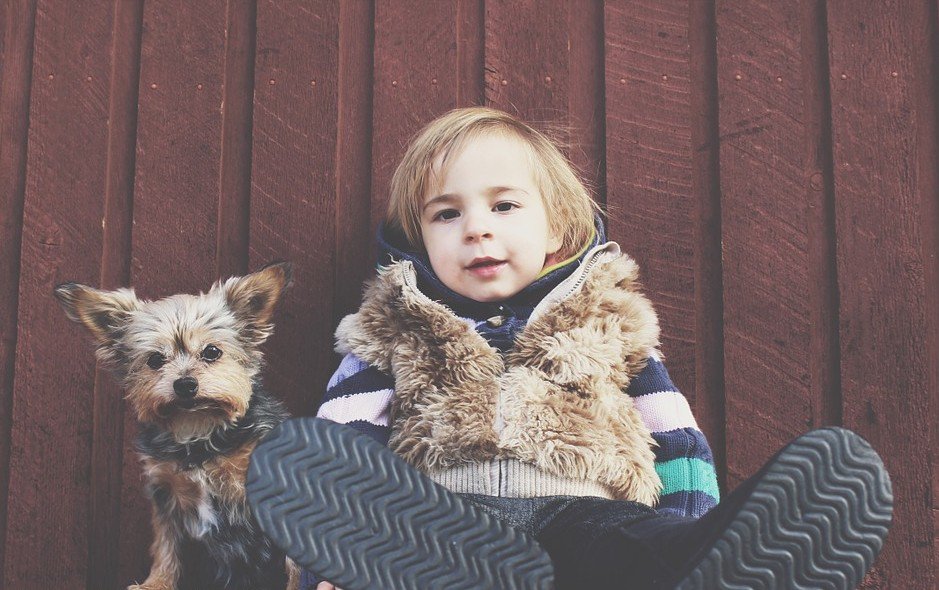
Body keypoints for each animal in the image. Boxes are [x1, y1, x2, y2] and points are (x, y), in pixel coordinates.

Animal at [53, 264, 302, 590]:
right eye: (155, 359)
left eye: (212, 352)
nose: (185, 384)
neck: (197, 432)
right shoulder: (167, 496)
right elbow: (166, 545)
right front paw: (156, 582)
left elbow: (296, 561)